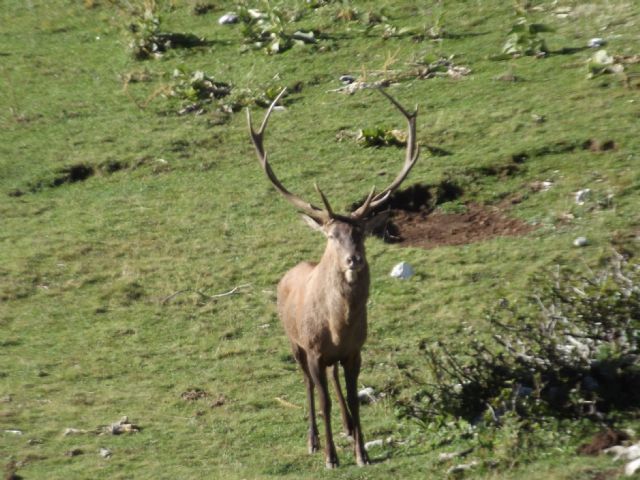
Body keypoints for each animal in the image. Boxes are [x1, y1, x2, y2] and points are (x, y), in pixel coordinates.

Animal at [246, 87, 420, 468]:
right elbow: (322, 399)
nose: (353, 260)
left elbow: (354, 397)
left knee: (335, 378)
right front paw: (330, 456)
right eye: (331, 235)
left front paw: (361, 452)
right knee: (310, 385)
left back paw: (348, 428)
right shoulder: (312, 349)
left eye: (361, 233)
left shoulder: (355, 350)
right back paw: (313, 440)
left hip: (331, 357)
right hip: (293, 342)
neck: (338, 326)